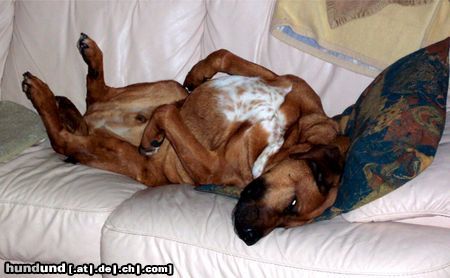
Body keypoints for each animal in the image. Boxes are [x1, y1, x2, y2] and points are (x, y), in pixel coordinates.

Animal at [22, 34, 348, 245]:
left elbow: (167, 114)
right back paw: (80, 68)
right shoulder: (286, 83)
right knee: (98, 95)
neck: (288, 135)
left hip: (119, 150)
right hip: (169, 87)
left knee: (64, 136)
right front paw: (198, 73)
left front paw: (153, 135)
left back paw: (45, 94)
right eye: (292, 203)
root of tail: (92, 120)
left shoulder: (211, 167)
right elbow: (224, 55)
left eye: (287, 225)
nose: (249, 239)